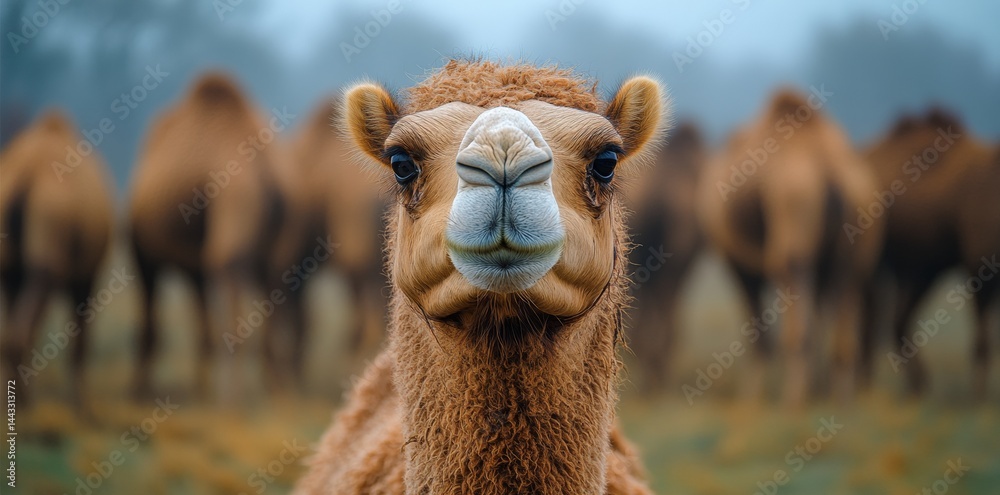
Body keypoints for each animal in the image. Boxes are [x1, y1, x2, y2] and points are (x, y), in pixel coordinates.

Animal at [0, 110, 114, 407]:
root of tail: (25, 176)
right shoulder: (88, 277)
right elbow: (80, 340)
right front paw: (81, 402)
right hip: (46, 269)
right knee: (21, 333)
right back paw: (28, 400)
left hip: (15, 271)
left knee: (14, 332)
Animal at [127, 73, 290, 401]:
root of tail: (267, 172)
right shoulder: (193, 261)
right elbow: (201, 323)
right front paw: (196, 387)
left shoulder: (141, 250)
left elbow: (150, 325)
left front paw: (139, 388)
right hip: (271, 241)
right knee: (270, 285)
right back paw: (275, 388)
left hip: (231, 221)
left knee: (231, 282)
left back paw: (232, 395)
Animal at [697, 89, 884, 405]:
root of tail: (832, 173)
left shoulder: (739, 264)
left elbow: (759, 331)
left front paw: (753, 396)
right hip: (852, 247)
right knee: (841, 310)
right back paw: (839, 394)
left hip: (794, 239)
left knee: (798, 323)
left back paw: (794, 396)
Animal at [860, 110, 997, 395]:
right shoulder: (980, 265)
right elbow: (983, 338)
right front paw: (978, 393)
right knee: (872, 318)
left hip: (920, 268)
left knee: (896, 318)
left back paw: (917, 383)